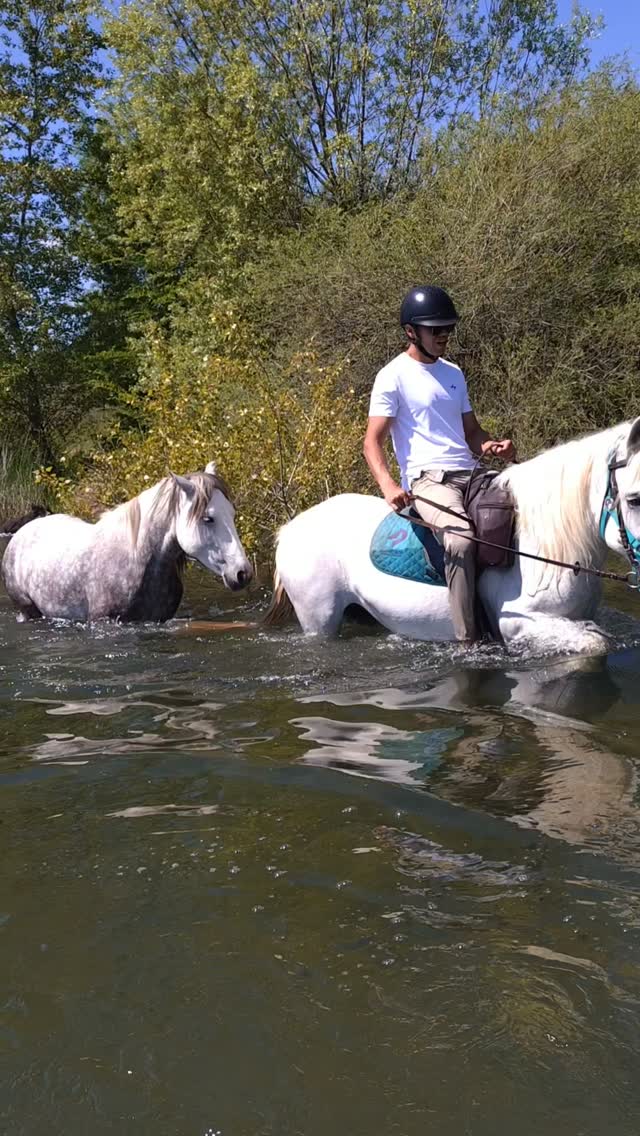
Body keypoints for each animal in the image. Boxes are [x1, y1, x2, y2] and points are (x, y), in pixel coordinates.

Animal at [1, 463, 252, 622]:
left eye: (232, 513)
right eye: (207, 518)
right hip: (29, 610)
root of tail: (22, 533)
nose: (243, 573)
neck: (137, 560)